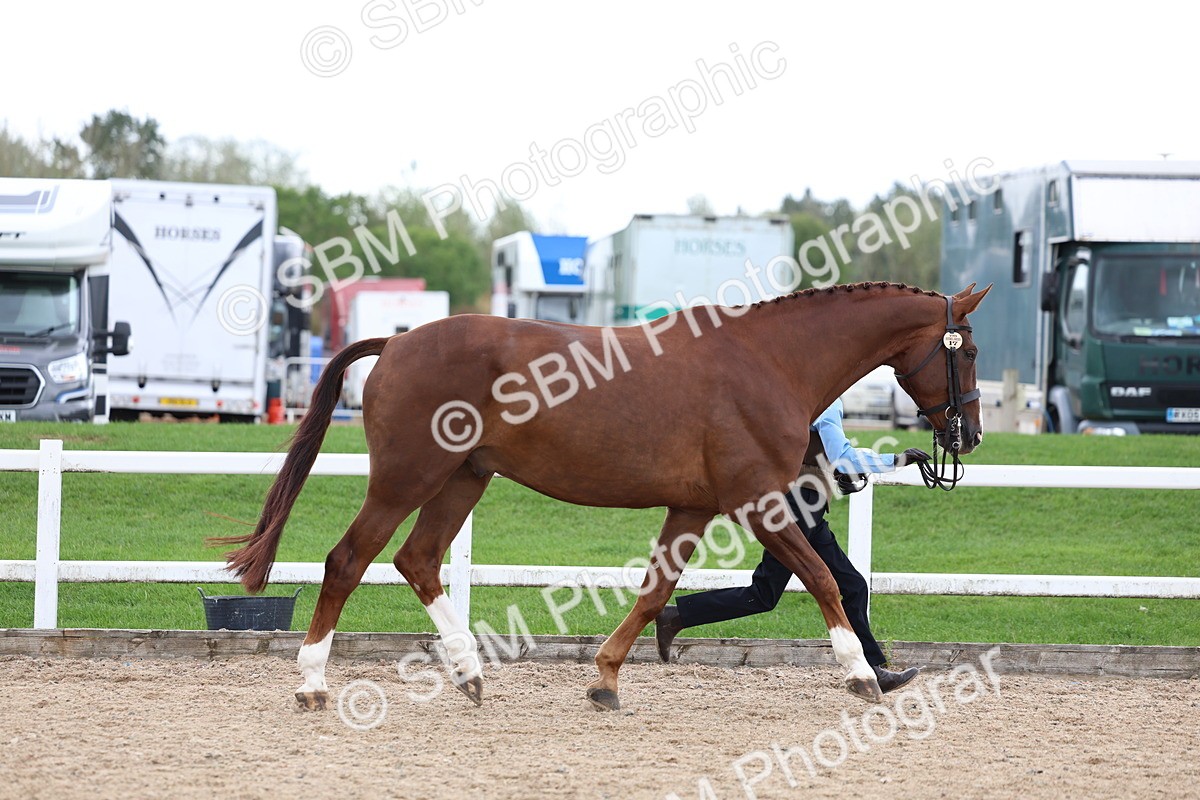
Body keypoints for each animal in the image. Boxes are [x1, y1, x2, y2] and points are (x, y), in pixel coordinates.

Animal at [214, 280, 991, 711]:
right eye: (972, 350)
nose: (971, 434)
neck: (770, 361)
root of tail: (397, 344)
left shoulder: (695, 507)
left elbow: (655, 593)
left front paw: (607, 678)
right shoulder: (759, 502)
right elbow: (827, 579)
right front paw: (862, 673)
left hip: (464, 477)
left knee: (420, 560)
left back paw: (469, 673)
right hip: (409, 476)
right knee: (348, 560)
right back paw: (313, 683)